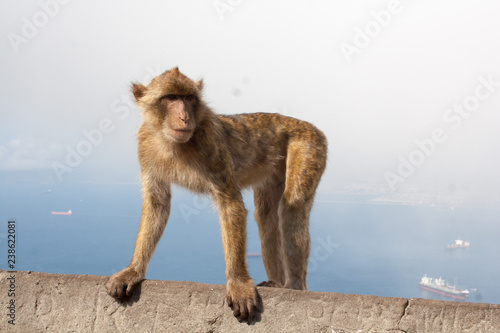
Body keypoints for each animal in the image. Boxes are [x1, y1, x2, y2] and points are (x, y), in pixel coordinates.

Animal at [105, 67, 328, 322]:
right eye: (170, 98)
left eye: (189, 98)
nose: (184, 117)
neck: (172, 142)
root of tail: (306, 125)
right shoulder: (146, 146)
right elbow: (157, 204)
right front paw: (133, 270)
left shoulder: (210, 143)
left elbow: (230, 204)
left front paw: (238, 284)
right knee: (266, 215)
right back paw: (276, 283)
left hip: (309, 145)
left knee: (293, 207)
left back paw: (294, 286)